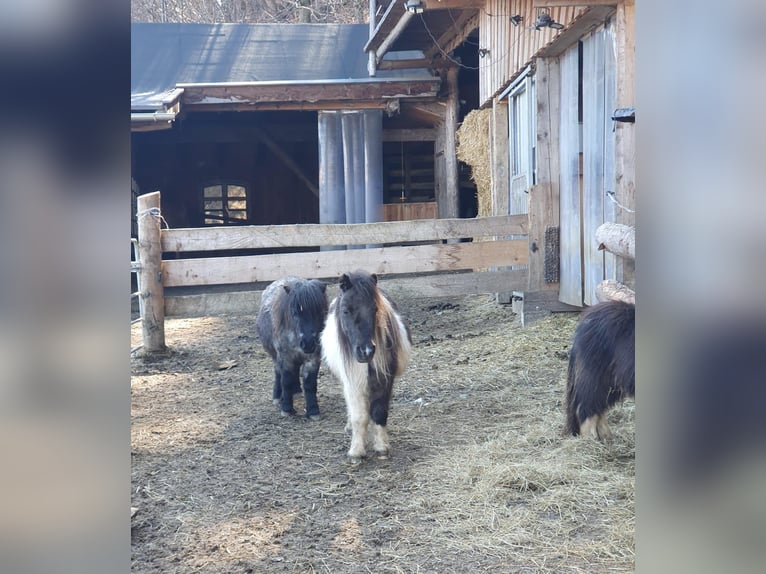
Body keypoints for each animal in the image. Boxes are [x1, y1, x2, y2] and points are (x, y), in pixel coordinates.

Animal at [256, 276, 328, 420]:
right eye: (295, 313)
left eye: (319, 311)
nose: (308, 343)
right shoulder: (286, 358)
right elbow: (286, 381)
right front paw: (286, 409)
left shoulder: (313, 359)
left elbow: (310, 383)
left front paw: (313, 410)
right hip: (276, 357)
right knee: (278, 373)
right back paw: (278, 397)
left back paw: (296, 392)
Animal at [321, 270, 412, 463]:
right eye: (346, 310)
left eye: (375, 309)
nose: (366, 351)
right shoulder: (353, 382)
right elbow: (359, 417)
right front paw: (356, 451)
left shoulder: (384, 380)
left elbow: (379, 412)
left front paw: (382, 447)